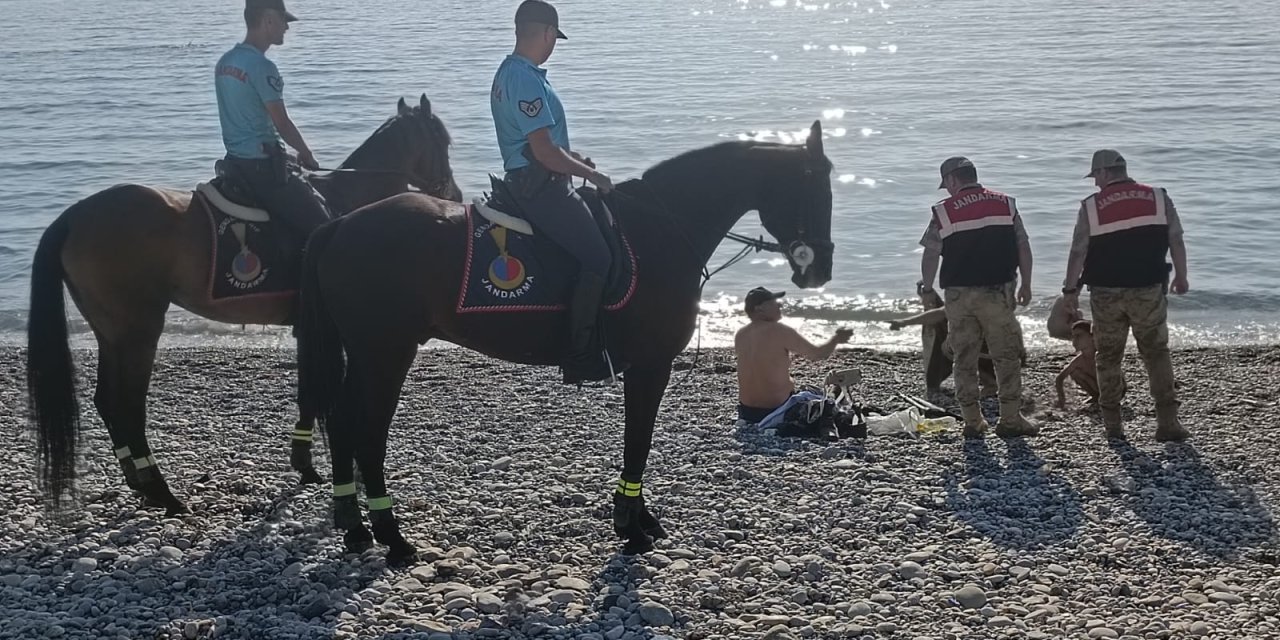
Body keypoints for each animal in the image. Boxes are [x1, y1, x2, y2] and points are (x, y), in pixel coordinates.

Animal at [28, 93, 465, 514]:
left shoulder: (307, 328)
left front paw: (303, 463)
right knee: (128, 404)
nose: (455, 194)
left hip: (111, 331)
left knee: (107, 400)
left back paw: (141, 483)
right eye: (442, 141)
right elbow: (315, 391)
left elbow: (307, 392)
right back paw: (163, 493)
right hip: (139, 330)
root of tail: (74, 216)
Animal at [296, 120, 839, 560]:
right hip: (385, 354)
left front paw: (639, 518)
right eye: (815, 187)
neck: (660, 228)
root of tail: (340, 225)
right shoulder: (650, 364)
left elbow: (637, 440)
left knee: (341, 424)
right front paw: (631, 525)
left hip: (366, 354)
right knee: (366, 432)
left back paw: (355, 529)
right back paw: (392, 538)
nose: (821, 270)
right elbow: (638, 439)